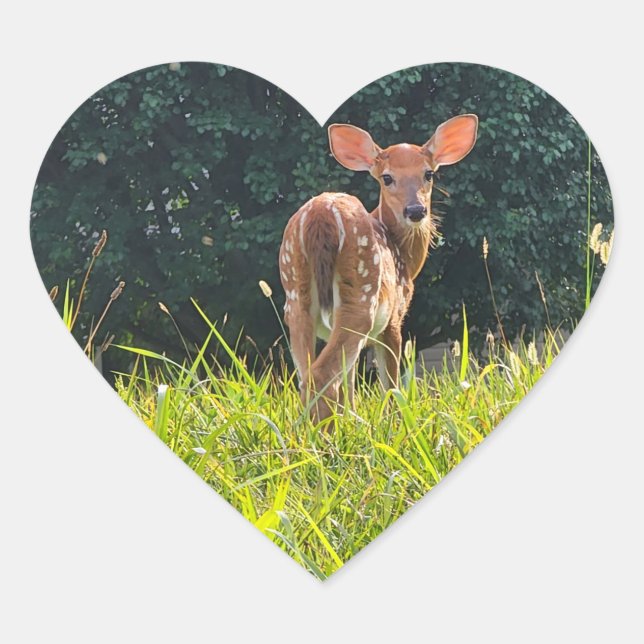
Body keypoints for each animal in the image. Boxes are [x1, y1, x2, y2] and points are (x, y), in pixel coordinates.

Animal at [279, 114, 478, 422]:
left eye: (428, 174)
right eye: (387, 177)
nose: (416, 210)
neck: (406, 258)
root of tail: (320, 215)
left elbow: (349, 382)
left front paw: (352, 419)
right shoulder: (394, 318)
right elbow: (391, 383)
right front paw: (395, 421)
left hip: (296, 297)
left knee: (308, 376)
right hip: (361, 296)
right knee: (321, 376)